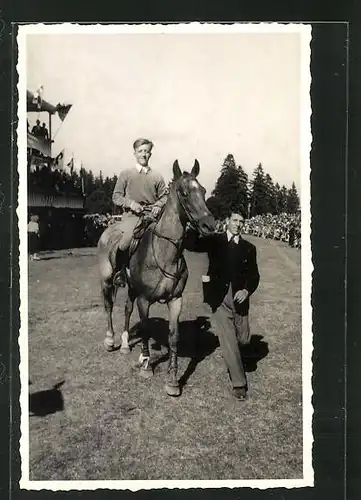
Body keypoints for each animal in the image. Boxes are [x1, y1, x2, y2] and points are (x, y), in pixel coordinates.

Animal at [97, 159, 215, 394]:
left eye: (204, 191)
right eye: (184, 192)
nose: (210, 225)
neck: (164, 253)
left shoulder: (176, 300)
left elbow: (174, 336)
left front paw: (172, 380)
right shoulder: (145, 300)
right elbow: (145, 329)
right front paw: (145, 364)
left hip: (131, 288)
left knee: (127, 309)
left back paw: (125, 344)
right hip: (107, 280)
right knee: (108, 306)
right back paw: (110, 340)